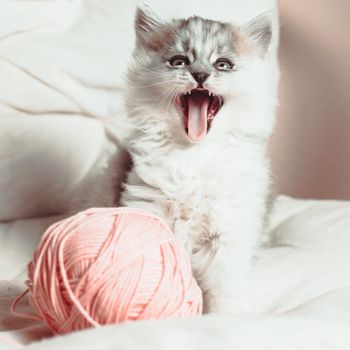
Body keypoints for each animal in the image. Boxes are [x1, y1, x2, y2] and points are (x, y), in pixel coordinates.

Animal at [119, 4, 278, 312]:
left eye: (223, 65)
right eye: (179, 61)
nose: (201, 75)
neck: (193, 156)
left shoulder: (229, 231)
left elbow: (226, 288)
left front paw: (225, 317)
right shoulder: (146, 204)